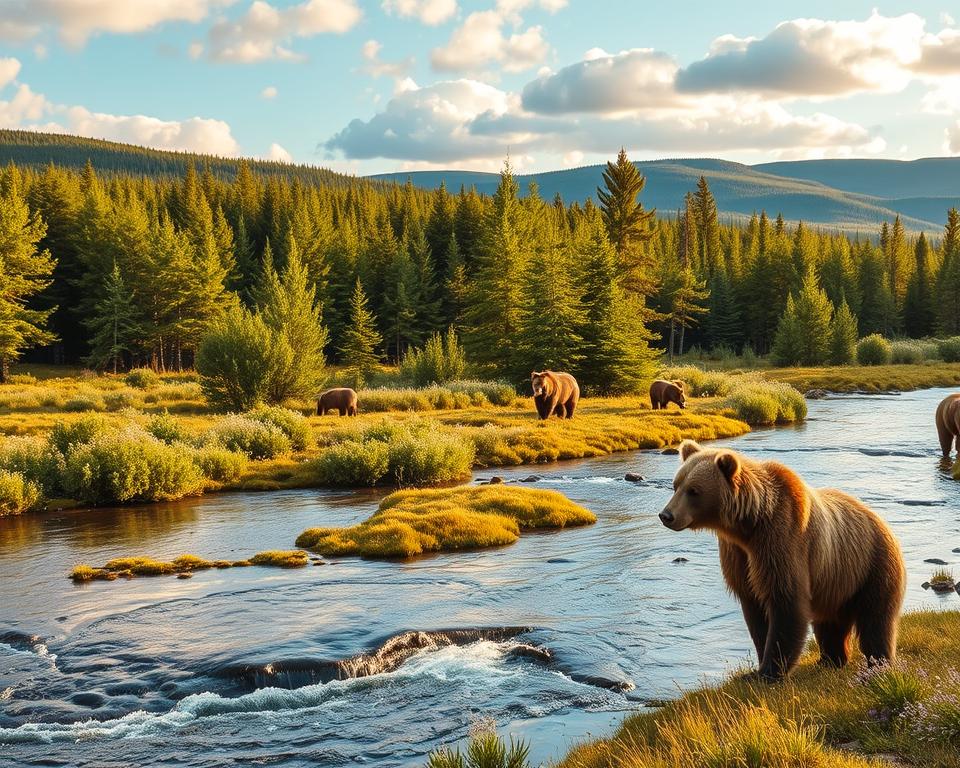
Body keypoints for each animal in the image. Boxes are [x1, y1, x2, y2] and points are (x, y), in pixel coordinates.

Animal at [659, 440, 905, 681]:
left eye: (693, 490)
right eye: (676, 485)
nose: (666, 515)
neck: (749, 525)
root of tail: (882, 523)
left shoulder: (782, 541)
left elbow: (786, 601)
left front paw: (768, 672)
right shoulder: (738, 554)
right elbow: (755, 610)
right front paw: (758, 666)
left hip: (872, 566)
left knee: (876, 620)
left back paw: (877, 665)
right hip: (836, 581)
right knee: (830, 624)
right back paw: (831, 659)